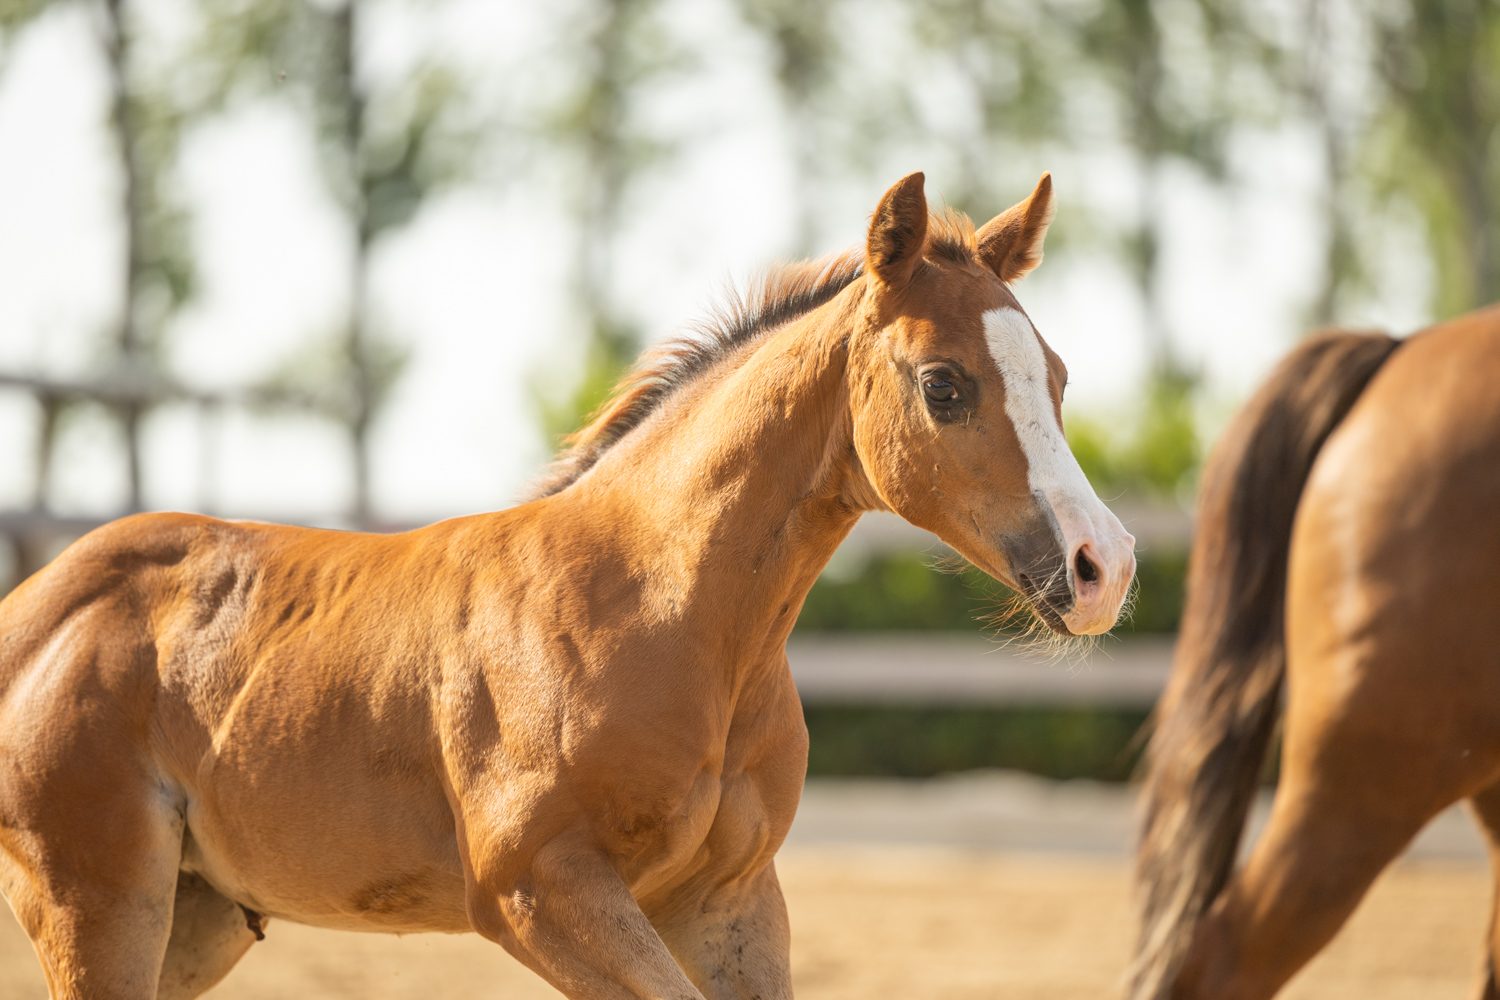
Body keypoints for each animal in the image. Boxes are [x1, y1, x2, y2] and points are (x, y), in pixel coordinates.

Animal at [0, 171, 1135, 999]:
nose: (1103, 566)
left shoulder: (728, 899)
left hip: (193, 916)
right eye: (944, 385)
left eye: (1058, 377)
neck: (664, 616)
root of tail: (34, 612)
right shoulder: (538, 891)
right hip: (98, 901)